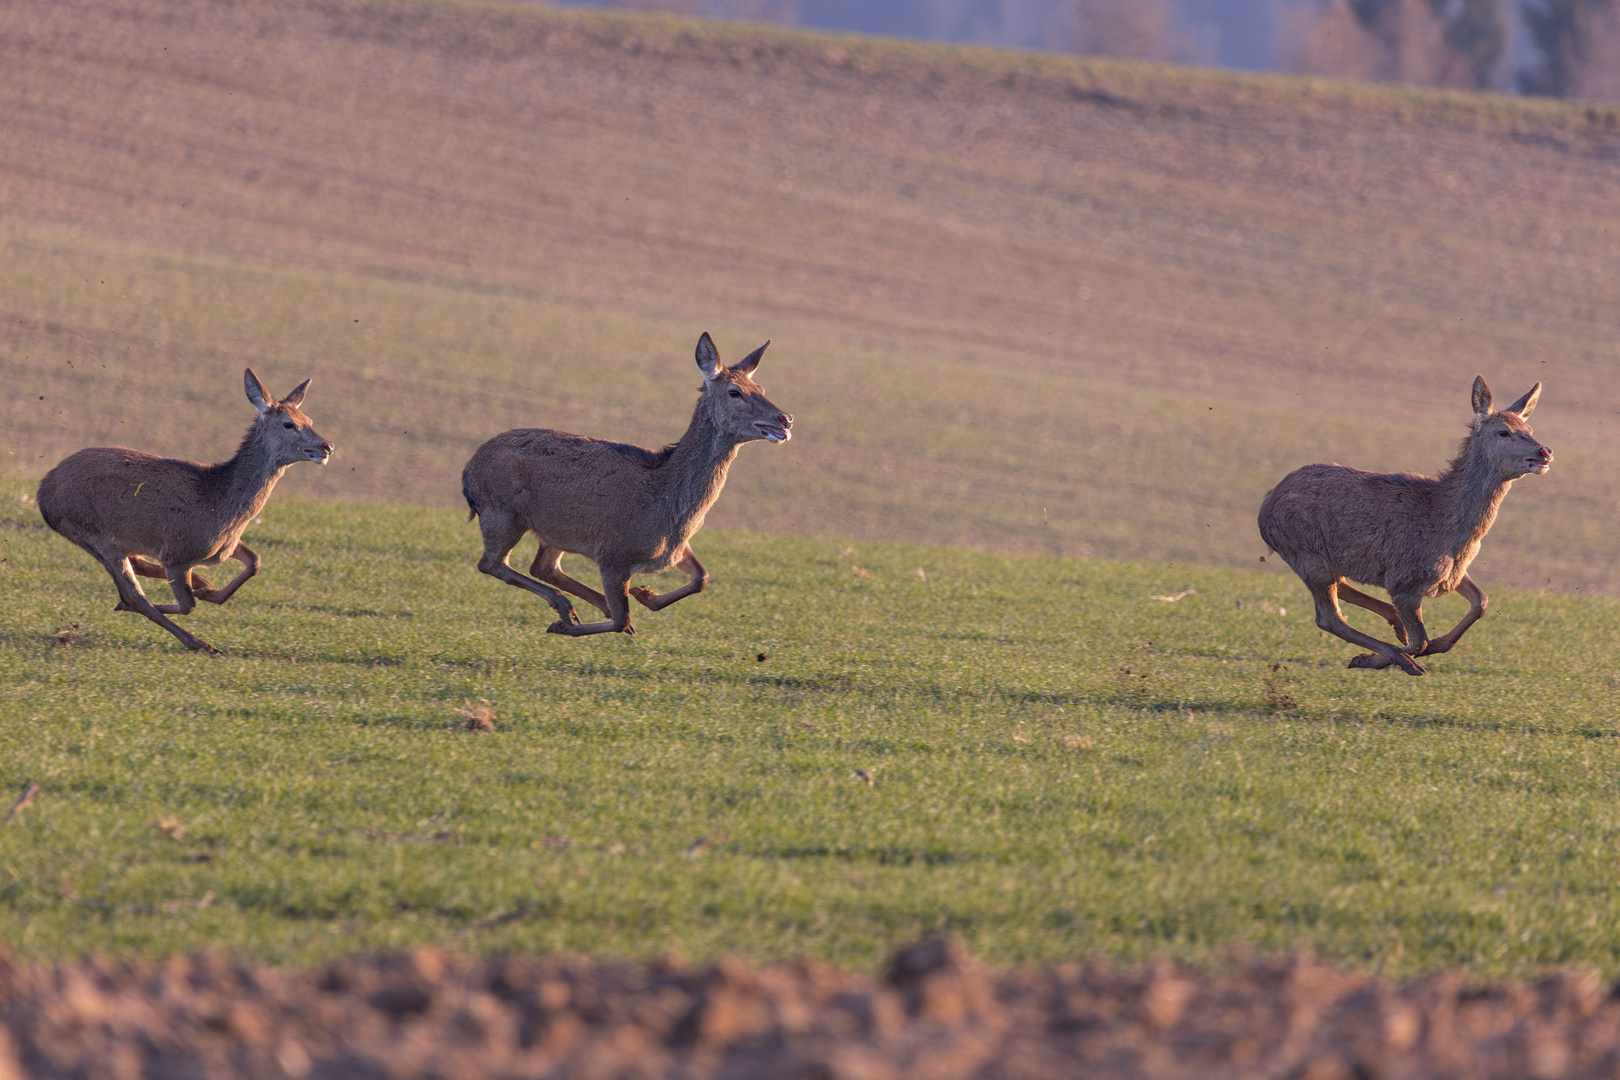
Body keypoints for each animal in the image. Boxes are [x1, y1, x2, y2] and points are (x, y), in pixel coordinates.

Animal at [36, 372, 333, 654]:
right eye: (288, 424)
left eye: (309, 419)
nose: (327, 446)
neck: (222, 504)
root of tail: (43, 492)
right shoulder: (180, 553)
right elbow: (188, 604)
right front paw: (199, 599)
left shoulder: (222, 546)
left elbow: (255, 562)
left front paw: (207, 588)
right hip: (92, 532)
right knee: (134, 595)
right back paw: (200, 643)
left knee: (137, 566)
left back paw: (198, 587)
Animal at [466, 330, 793, 634]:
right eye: (735, 392)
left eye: (761, 387)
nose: (785, 418)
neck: (668, 508)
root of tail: (467, 473)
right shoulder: (614, 555)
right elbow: (622, 620)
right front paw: (566, 625)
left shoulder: (673, 549)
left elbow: (702, 577)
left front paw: (645, 593)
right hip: (502, 512)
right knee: (491, 564)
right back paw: (566, 609)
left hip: (554, 530)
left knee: (542, 566)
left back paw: (586, 605)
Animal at [1257, 374, 1548, 676]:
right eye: (1503, 432)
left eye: (1529, 427)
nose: (1544, 452)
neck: (1447, 526)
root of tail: (1264, 512)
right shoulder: (1404, 580)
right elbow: (1421, 640)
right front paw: (1382, 659)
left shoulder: (1451, 573)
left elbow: (1481, 602)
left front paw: (1430, 645)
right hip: (1307, 555)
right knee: (1328, 618)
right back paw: (1391, 655)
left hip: (1325, 561)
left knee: (1342, 589)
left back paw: (1394, 625)